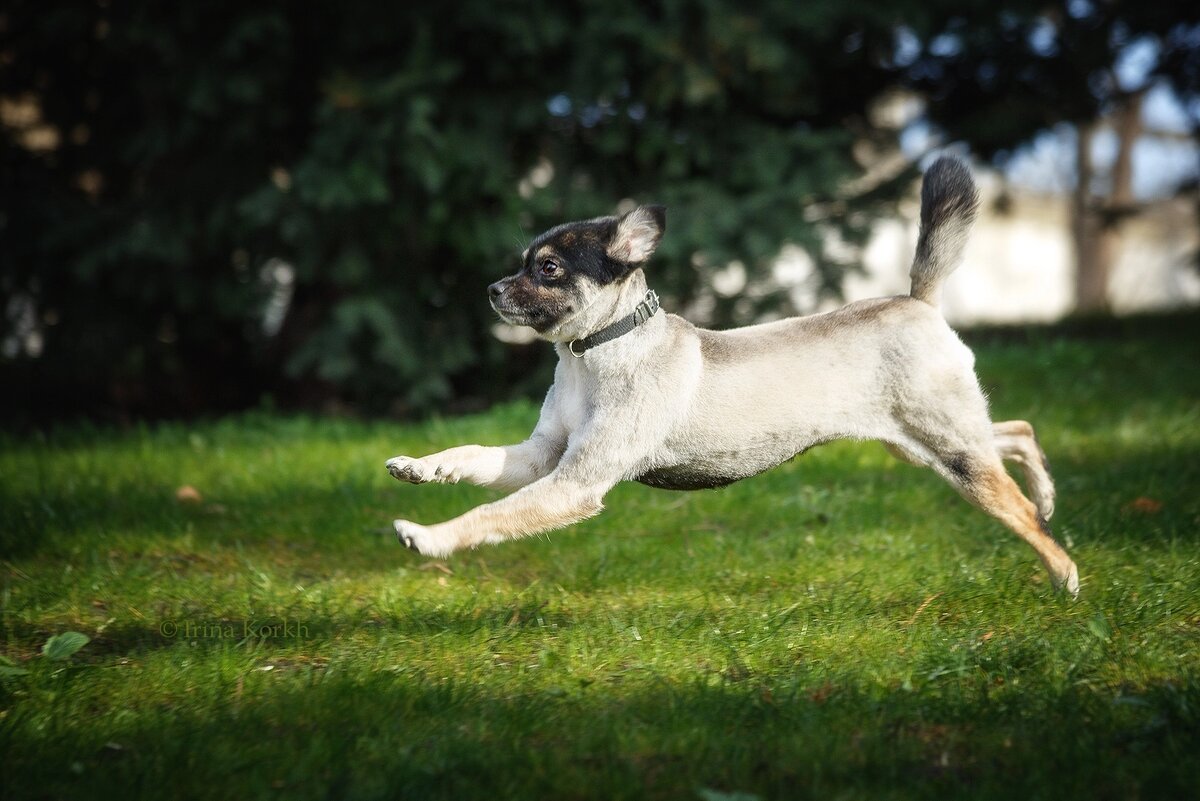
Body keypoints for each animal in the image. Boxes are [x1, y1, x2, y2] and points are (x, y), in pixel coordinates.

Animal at [388, 155, 1084, 594]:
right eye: (522, 263)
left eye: (549, 268)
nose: (492, 289)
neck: (591, 355)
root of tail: (918, 301)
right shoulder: (540, 459)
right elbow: (472, 456)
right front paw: (421, 468)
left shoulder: (572, 484)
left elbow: (489, 516)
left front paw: (429, 536)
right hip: (926, 445)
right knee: (1017, 430)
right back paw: (1050, 495)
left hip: (952, 452)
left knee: (1017, 504)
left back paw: (1063, 570)